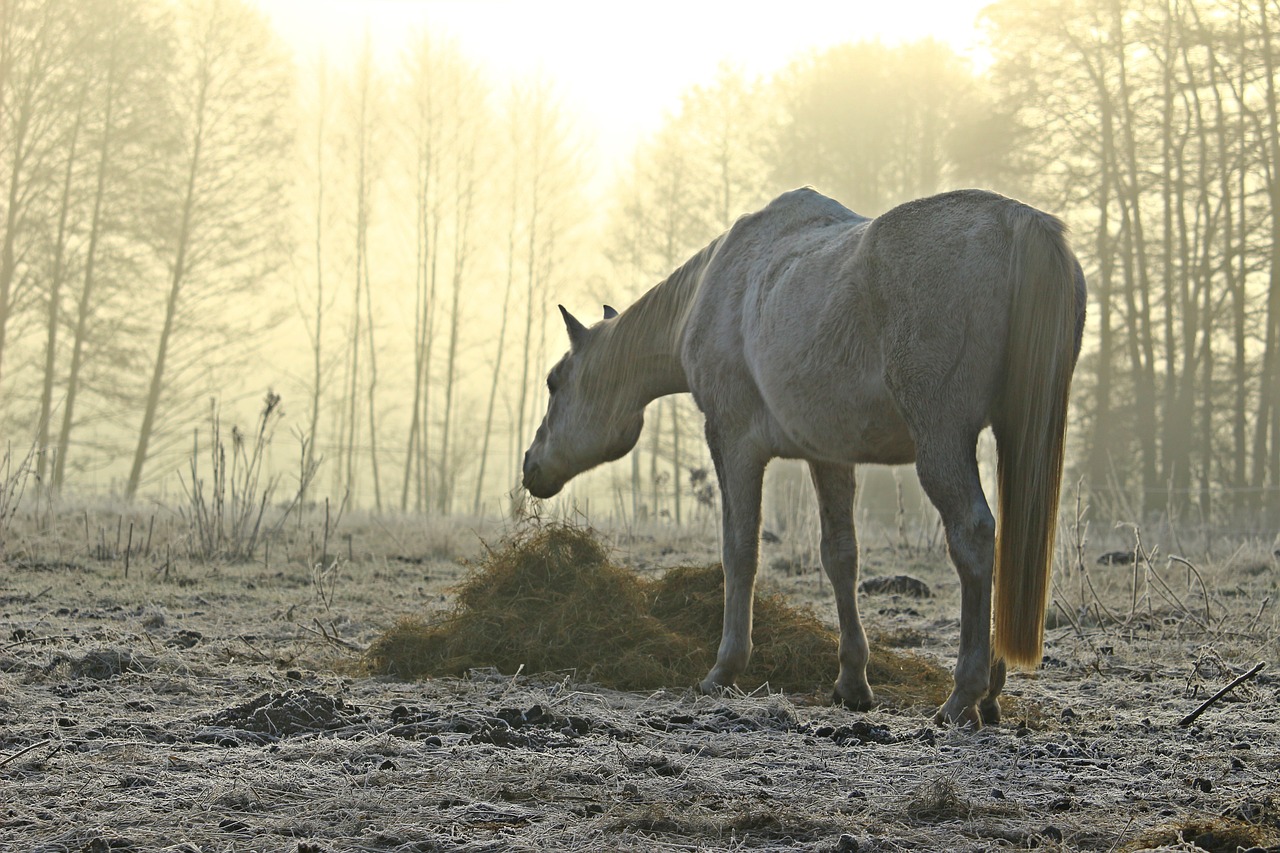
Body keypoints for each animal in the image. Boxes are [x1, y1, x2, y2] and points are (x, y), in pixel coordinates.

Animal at [524, 188, 1085, 722]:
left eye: (554, 382)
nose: (531, 466)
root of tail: (1017, 220)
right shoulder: (829, 454)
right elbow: (840, 557)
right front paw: (852, 683)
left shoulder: (734, 443)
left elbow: (739, 551)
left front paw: (724, 669)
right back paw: (990, 695)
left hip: (941, 440)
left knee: (973, 535)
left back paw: (962, 696)